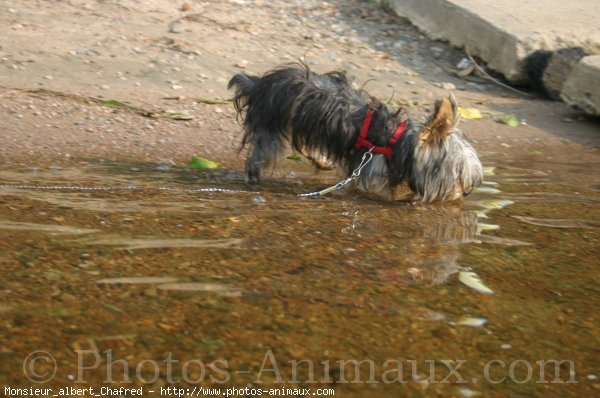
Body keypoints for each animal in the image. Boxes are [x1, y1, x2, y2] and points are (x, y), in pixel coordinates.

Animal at [226, 65, 482, 204]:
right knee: (261, 154)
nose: (466, 192)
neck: (397, 142)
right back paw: (253, 178)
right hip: (271, 125)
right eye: (458, 172)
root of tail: (259, 84)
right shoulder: (371, 172)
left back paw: (322, 161)